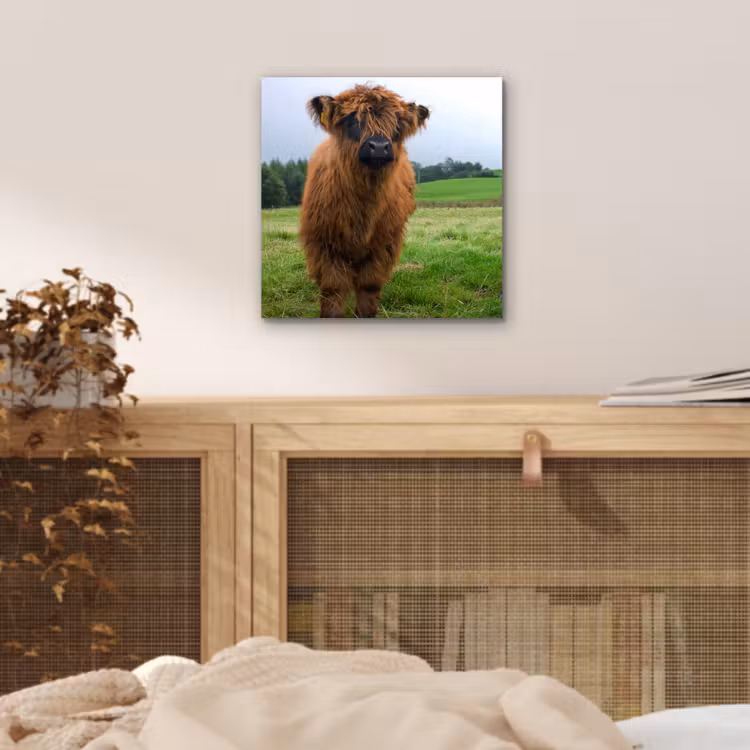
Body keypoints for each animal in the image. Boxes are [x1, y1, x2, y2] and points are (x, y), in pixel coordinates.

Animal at [299, 84, 430, 317]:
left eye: (397, 125)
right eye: (352, 120)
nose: (378, 146)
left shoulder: (383, 246)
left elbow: (369, 288)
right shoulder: (324, 245)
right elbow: (333, 291)